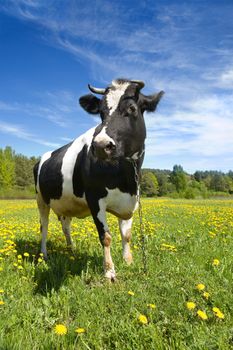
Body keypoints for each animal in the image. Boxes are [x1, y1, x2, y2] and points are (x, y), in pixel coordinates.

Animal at [33, 78, 164, 280]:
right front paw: (109, 272)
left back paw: (71, 250)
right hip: (41, 200)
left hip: (64, 204)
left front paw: (129, 261)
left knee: (66, 226)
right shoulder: (95, 199)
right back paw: (44, 255)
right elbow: (106, 237)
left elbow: (126, 235)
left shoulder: (131, 200)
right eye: (101, 113)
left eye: (132, 108)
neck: (125, 178)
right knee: (44, 227)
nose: (101, 145)